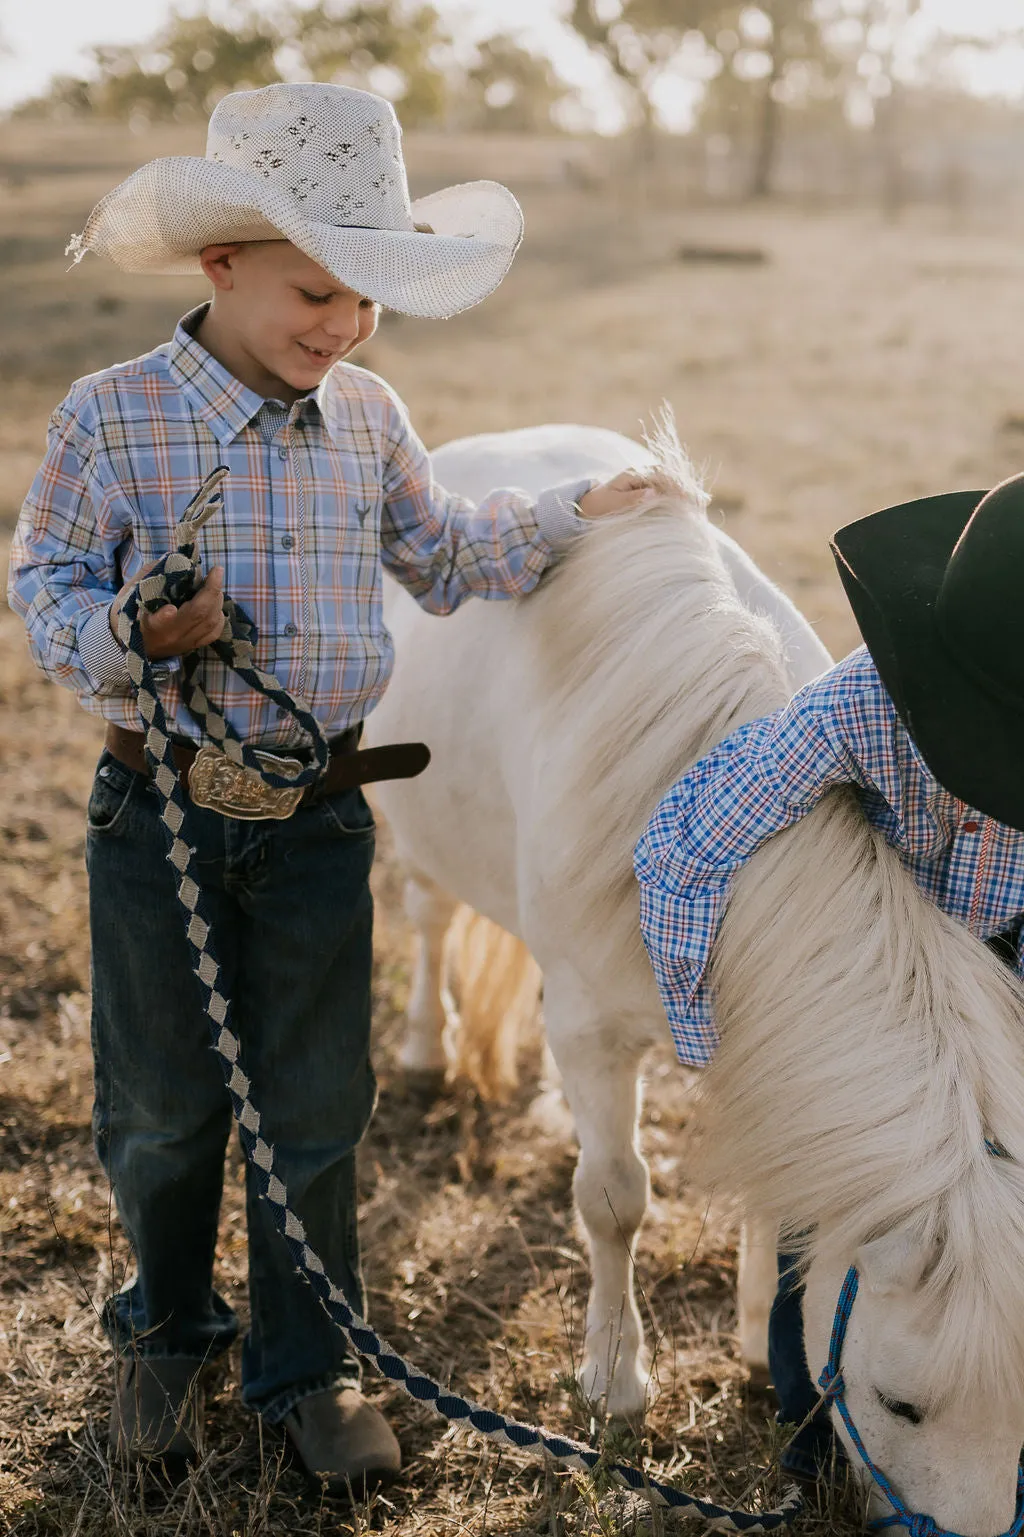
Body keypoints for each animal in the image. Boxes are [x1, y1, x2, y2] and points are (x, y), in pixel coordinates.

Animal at [370, 424, 1020, 1537]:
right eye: (900, 1405)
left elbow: (775, 1192)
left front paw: (761, 1338)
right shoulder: (591, 1028)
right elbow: (615, 1200)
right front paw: (616, 1378)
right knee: (429, 918)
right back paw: (420, 1046)